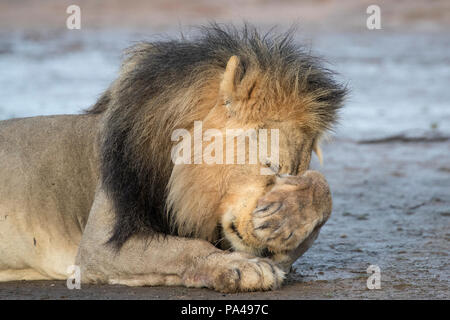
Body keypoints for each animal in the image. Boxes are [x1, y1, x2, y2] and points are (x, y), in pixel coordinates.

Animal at [0, 23, 346, 292]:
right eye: (270, 166)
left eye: (294, 173)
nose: (266, 249)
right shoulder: (98, 246)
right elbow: (184, 248)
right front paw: (242, 267)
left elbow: (320, 186)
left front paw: (287, 217)